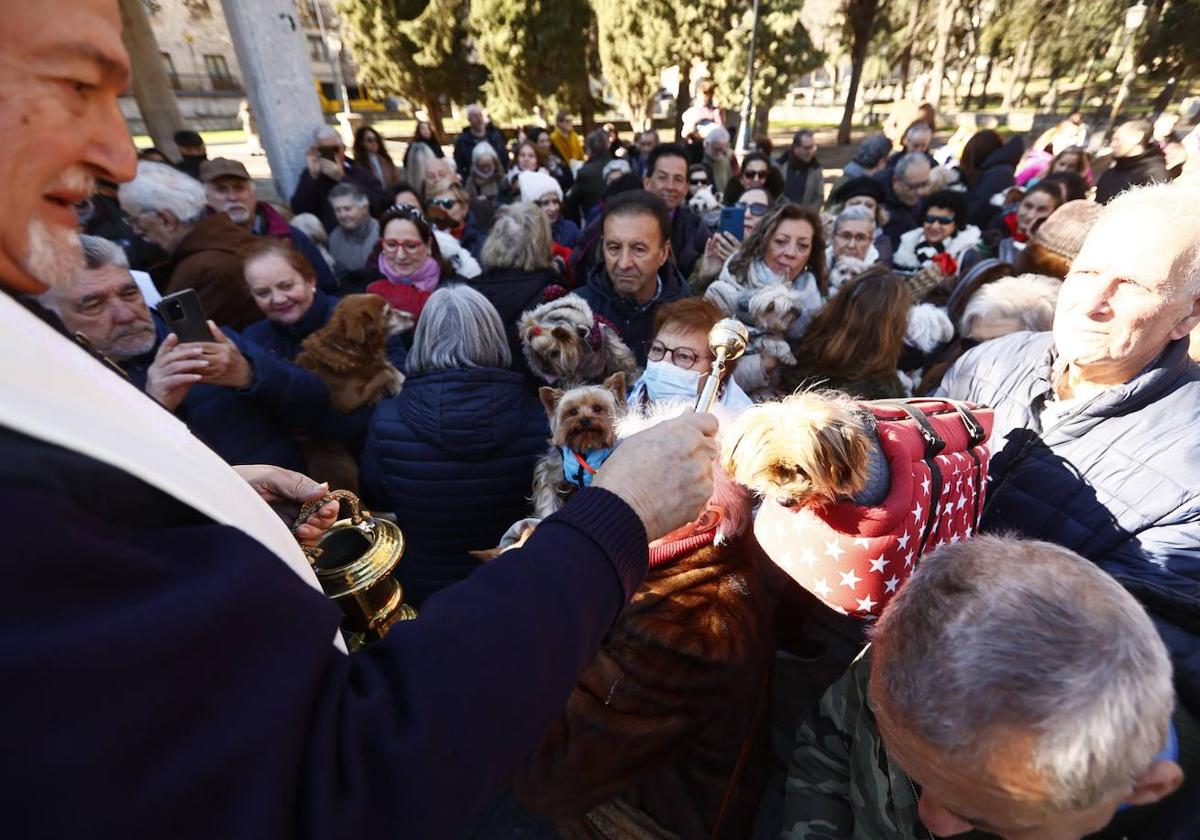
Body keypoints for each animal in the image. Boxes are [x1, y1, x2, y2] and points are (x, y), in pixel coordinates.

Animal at [535, 374, 628, 518]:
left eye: (597, 408)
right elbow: (547, 493)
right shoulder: (552, 469)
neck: (586, 445)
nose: (584, 420)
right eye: (573, 412)